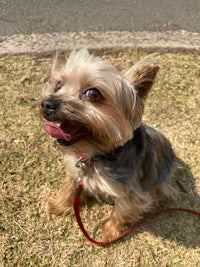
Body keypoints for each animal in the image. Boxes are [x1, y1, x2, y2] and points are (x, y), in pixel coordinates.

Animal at [40, 49, 177, 242]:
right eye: (58, 85)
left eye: (93, 94)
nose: (47, 104)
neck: (97, 154)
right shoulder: (76, 171)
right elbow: (70, 187)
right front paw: (60, 205)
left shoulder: (132, 190)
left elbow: (123, 209)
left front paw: (109, 231)